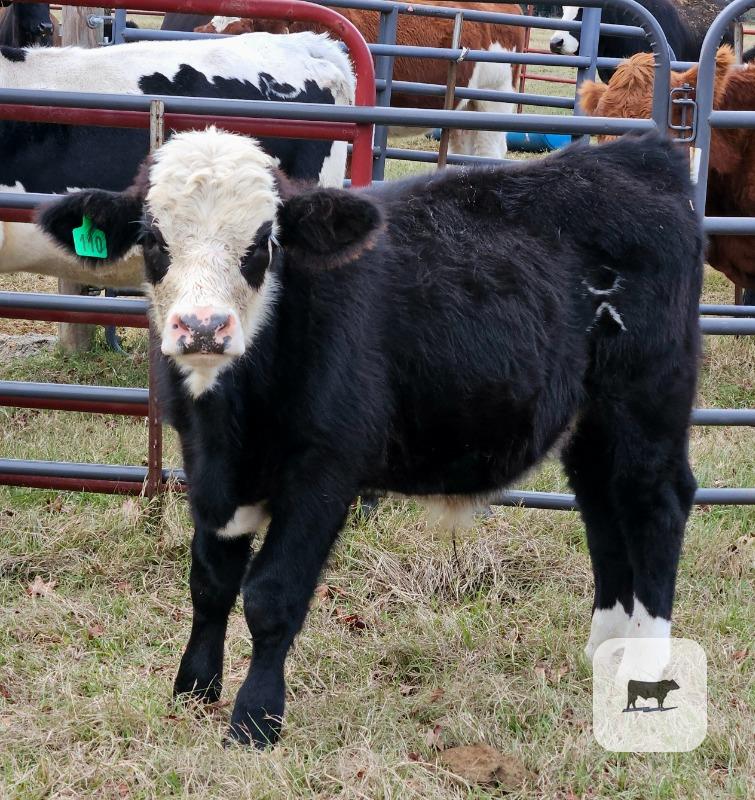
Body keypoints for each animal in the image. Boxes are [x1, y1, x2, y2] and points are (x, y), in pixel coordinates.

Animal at [38, 127, 702, 747]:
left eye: (264, 243)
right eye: (153, 239)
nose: (204, 327)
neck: (235, 415)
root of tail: (636, 153)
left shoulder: (325, 473)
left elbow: (272, 595)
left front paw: (254, 721)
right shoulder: (209, 468)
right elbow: (210, 580)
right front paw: (194, 690)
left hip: (646, 403)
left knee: (656, 507)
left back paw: (646, 663)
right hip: (591, 424)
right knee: (603, 511)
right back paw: (606, 654)